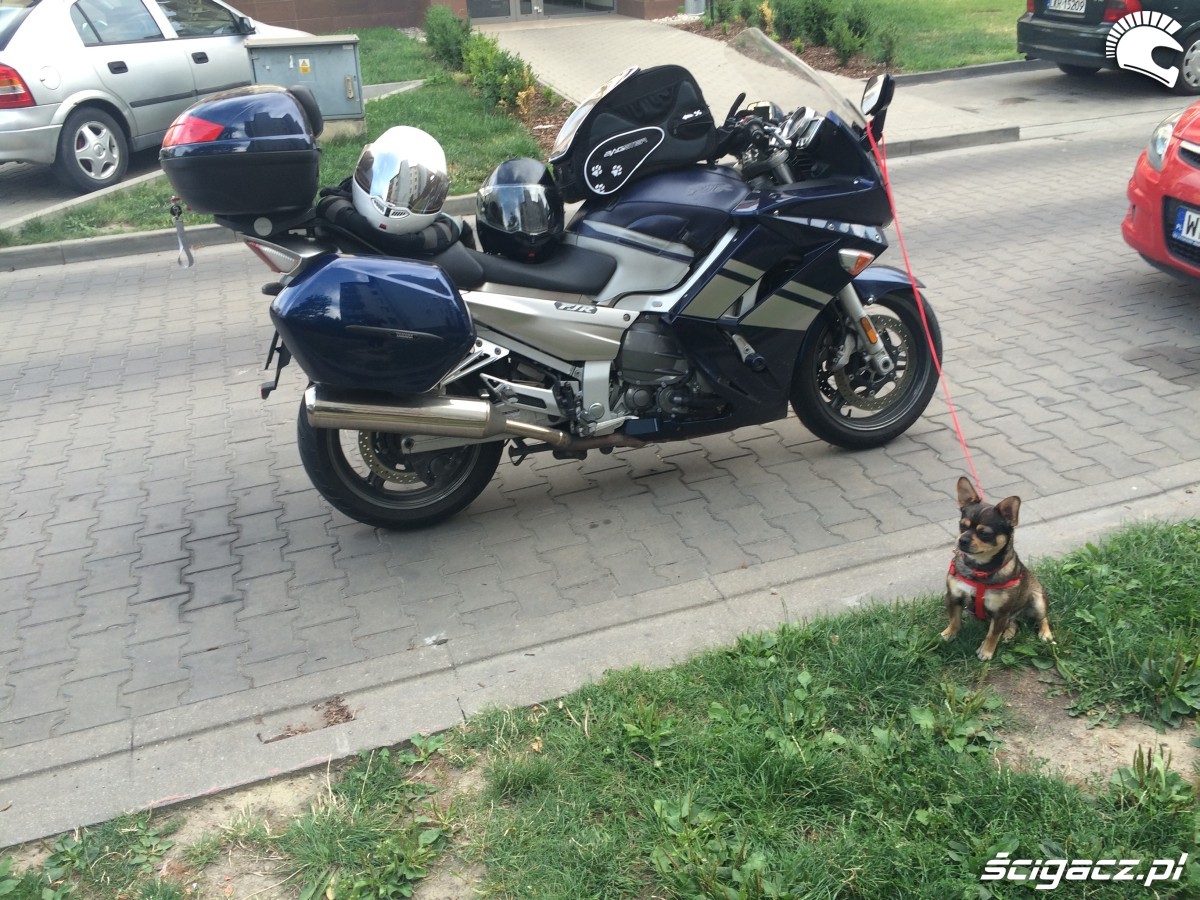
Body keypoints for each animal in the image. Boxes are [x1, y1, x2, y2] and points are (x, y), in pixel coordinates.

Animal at [941, 476, 1053, 661]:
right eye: (962, 526)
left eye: (985, 533)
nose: (962, 540)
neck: (979, 569)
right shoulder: (954, 597)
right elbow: (954, 619)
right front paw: (949, 634)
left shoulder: (1001, 612)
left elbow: (993, 633)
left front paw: (986, 651)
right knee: (1014, 624)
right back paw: (1008, 633)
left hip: (1037, 601)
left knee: (1042, 618)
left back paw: (1045, 633)